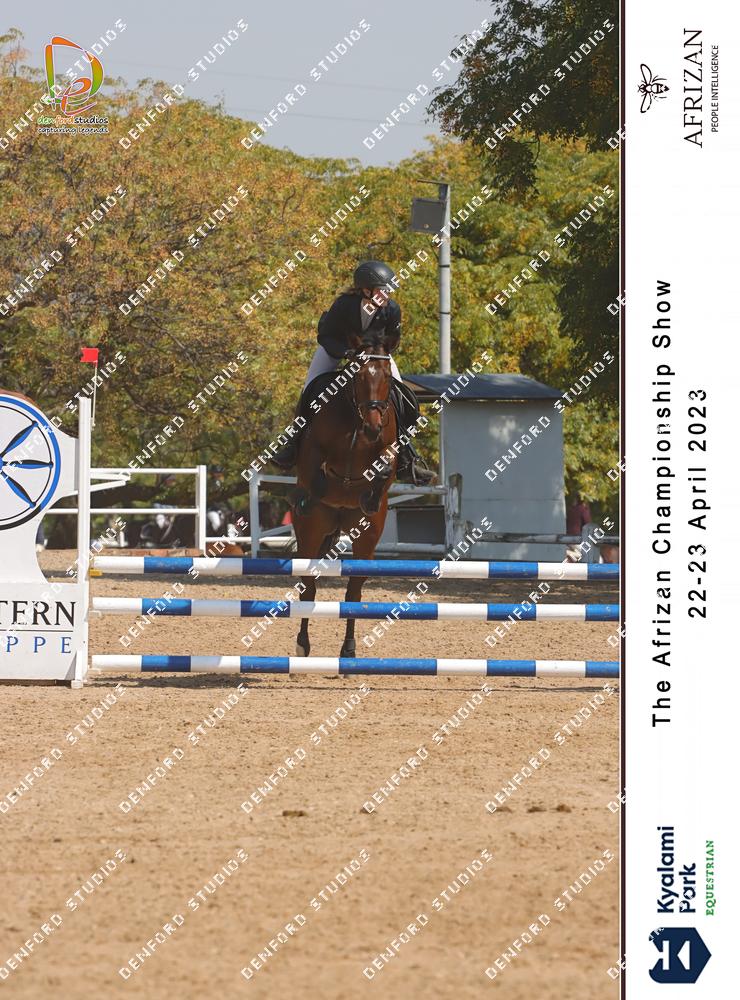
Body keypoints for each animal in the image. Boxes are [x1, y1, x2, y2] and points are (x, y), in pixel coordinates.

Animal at [292, 335, 398, 657]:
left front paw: (370, 496)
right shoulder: (313, 450)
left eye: (387, 377)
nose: (373, 427)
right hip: (312, 533)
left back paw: (349, 649)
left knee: (353, 591)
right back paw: (303, 644)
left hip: (367, 537)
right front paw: (310, 495)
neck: (356, 419)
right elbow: (317, 475)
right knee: (308, 587)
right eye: (358, 376)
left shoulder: (390, 448)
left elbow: (384, 467)